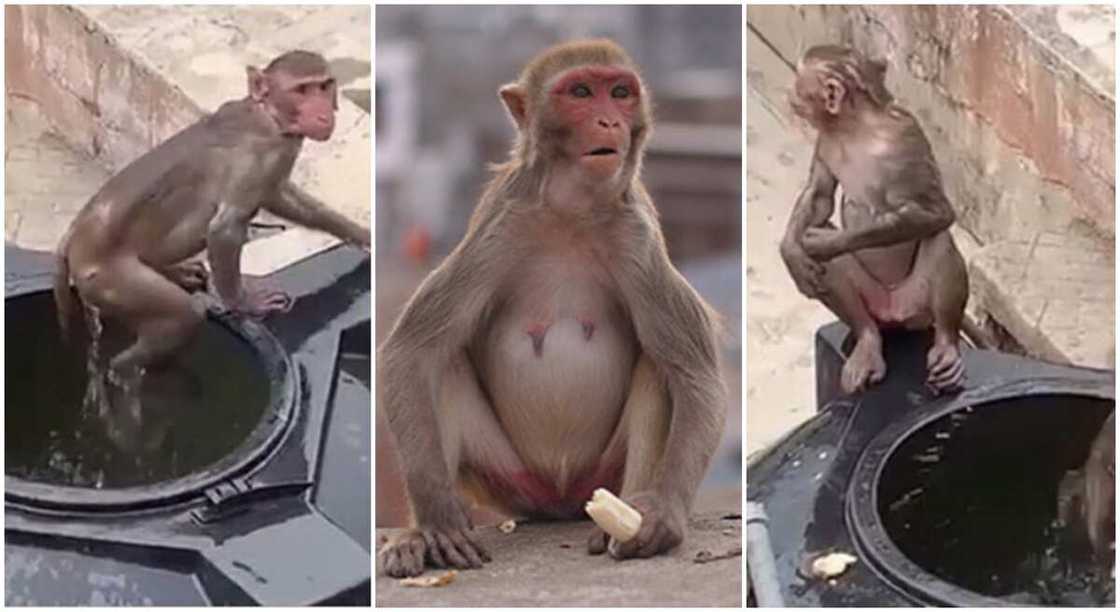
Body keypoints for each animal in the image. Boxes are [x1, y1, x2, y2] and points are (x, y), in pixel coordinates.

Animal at [53, 50, 370, 412]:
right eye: (302, 90)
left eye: (324, 85)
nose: (322, 111)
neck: (269, 117)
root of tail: (74, 235)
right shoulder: (258, 159)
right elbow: (225, 229)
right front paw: (246, 304)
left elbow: (280, 197)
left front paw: (359, 233)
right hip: (106, 277)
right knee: (180, 315)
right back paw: (127, 372)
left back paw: (174, 274)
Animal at [377, 39, 726, 578]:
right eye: (580, 92)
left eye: (620, 93)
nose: (608, 121)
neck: (572, 210)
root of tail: (561, 500)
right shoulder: (500, 227)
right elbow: (411, 351)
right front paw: (436, 518)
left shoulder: (637, 239)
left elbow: (695, 371)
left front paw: (663, 512)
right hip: (507, 478)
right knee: (443, 362)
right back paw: (419, 538)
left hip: (597, 473)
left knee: (657, 367)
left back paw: (624, 520)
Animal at [779, 44, 967, 395]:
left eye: (799, 83)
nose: (789, 93)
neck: (855, 128)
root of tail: (895, 314)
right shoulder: (826, 138)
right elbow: (819, 197)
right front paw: (791, 252)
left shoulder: (905, 138)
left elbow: (935, 212)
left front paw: (826, 242)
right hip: (874, 303)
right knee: (851, 297)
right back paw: (867, 341)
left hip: (918, 306)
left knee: (939, 241)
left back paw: (947, 345)